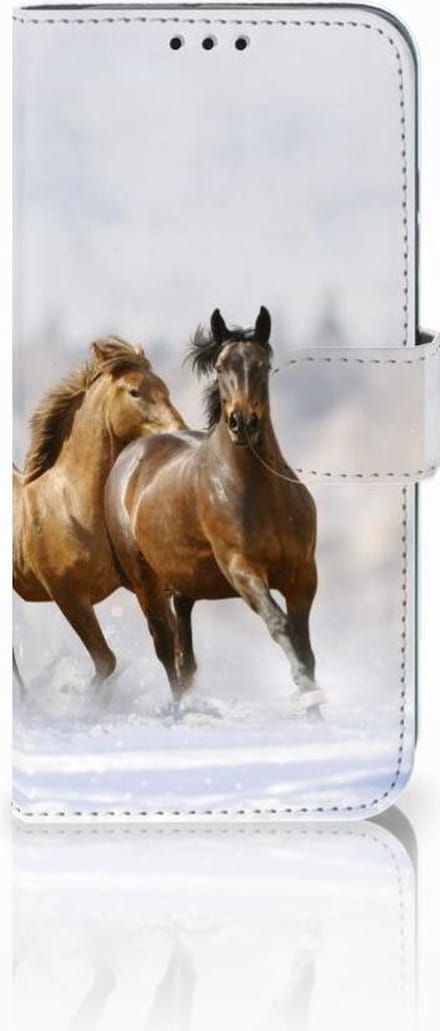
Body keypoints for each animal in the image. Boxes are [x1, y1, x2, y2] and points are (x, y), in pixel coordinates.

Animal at [13, 336, 185, 682]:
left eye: (164, 387)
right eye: (134, 391)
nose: (178, 429)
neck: (71, 507)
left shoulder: (144, 585)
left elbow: (170, 647)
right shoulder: (69, 596)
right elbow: (106, 661)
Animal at [104, 308, 325, 716]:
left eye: (262, 365)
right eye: (221, 367)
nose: (242, 422)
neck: (260, 494)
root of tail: (130, 456)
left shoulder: (303, 575)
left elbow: (304, 644)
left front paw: (315, 709)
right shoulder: (242, 569)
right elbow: (280, 625)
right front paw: (306, 695)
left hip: (184, 582)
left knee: (184, 652)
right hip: (146, 584)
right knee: (165, 646)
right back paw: (179, 711)